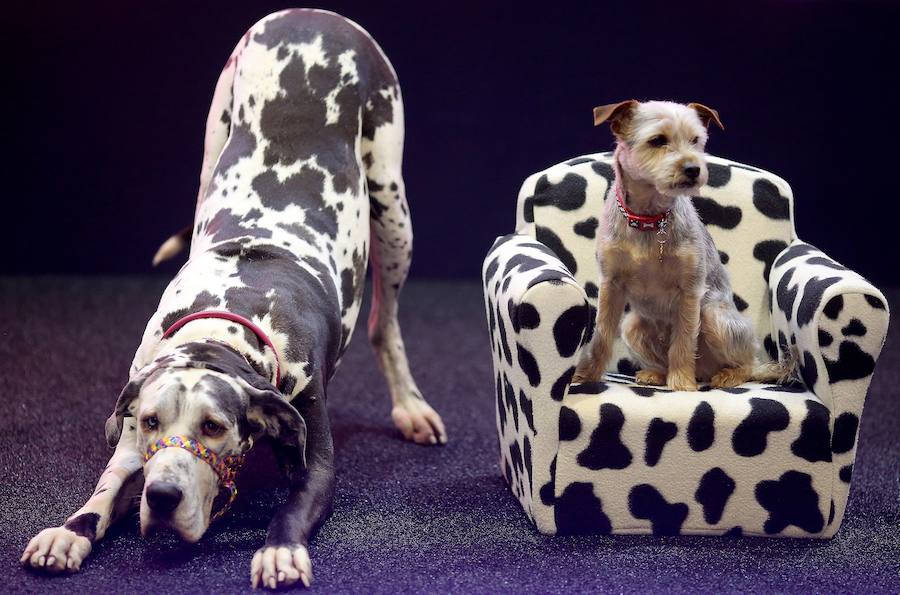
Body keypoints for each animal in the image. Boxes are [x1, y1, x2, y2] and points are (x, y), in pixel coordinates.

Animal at [572, 101, 784, 392]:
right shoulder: (610, 284)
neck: (649, 220)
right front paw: (585, 375)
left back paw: (726, 375)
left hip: (714, 317)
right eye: (657, 140)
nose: (693, 168)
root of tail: (705, 371)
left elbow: (683, 341)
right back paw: (655, 374)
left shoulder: (689, 291)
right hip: (631, 326)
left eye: (696, 140)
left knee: (748, 363)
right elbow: (601, 334)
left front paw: (682, 383)